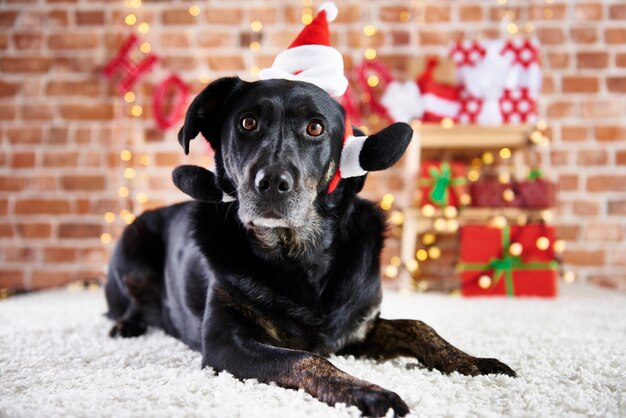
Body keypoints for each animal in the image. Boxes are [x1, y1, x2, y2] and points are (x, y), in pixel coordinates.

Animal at [105, 76, 516, 416]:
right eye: (247, 123)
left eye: (315, 127)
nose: (271, 182)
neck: (299, 253)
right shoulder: (224, 344)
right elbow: (307, 359)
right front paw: (369, 392)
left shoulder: (358, 329)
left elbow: (419, 326)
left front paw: (473, 362)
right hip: (132, 244)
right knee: (126, 304)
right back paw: (127, 325)